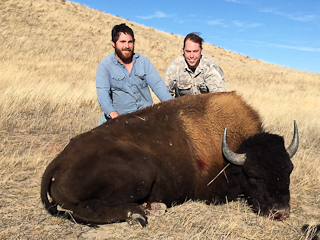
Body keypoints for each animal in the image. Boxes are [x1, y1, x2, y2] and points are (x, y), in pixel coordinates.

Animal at [41, 91, 298, 226]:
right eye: (253, 174)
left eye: (289, 170)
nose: (281, 212)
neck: (230, 153)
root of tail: (58, 161)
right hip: (142, 172)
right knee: (84, 211)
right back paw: (138, 213)